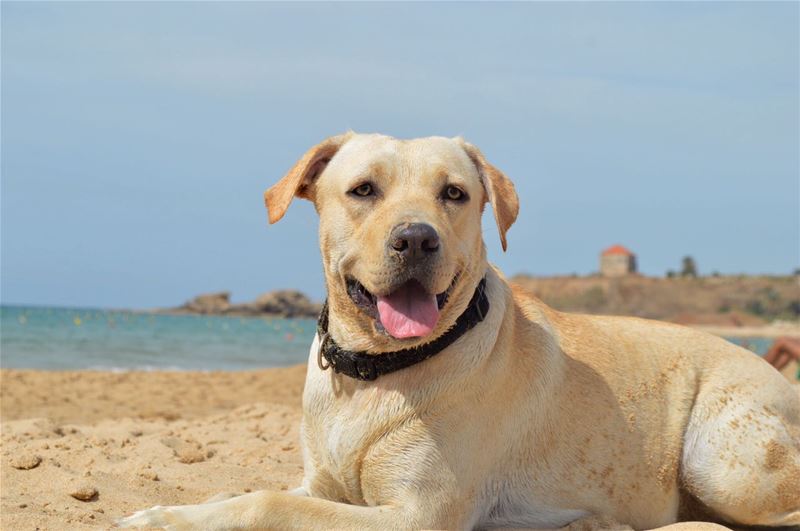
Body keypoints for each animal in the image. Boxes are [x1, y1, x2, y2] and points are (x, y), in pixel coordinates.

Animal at [120, 134, 800, 531]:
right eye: (363, 189)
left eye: (454, 194)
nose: (418, 239)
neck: (371, 371)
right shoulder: (321, 482)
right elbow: (246, 495)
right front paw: (165, 513)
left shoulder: (418, 515)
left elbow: (270, 504)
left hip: (721, 463)